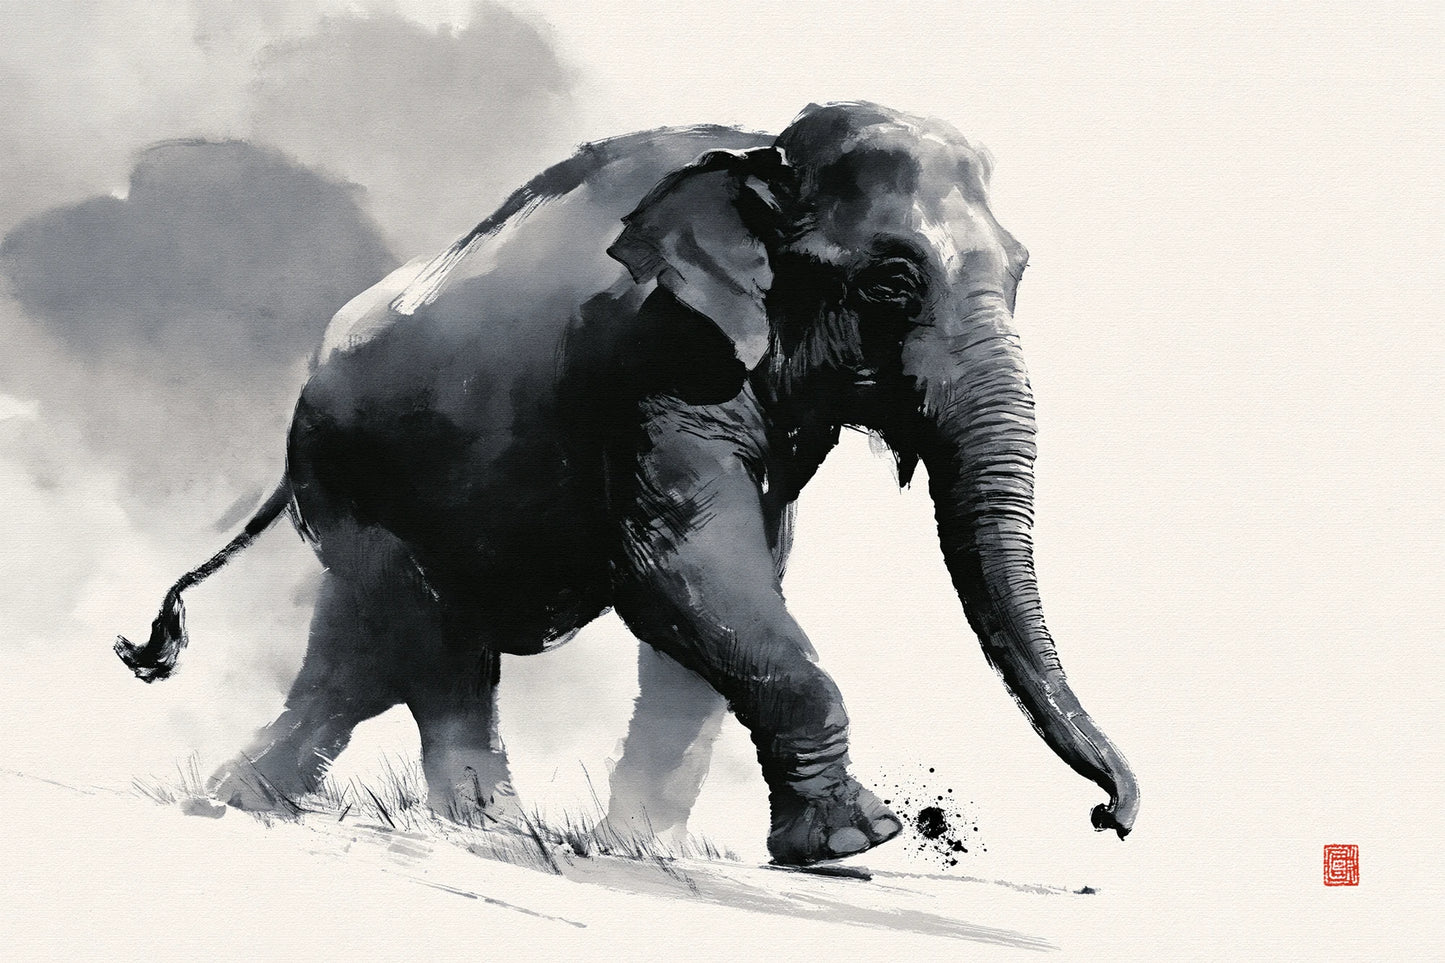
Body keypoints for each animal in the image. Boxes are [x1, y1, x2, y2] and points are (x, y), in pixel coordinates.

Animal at [116, 101, 1139, 866]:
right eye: (891, 280)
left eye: (1021, 271)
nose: (1110, 818)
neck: (756, 152)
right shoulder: (649, 353)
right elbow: (681, 566)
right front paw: (859, 840)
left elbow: (738, 580)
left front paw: (641, 846)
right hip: (365, 487)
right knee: (422, 643)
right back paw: (472, 826)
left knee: (367, 659)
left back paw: (260, 802)